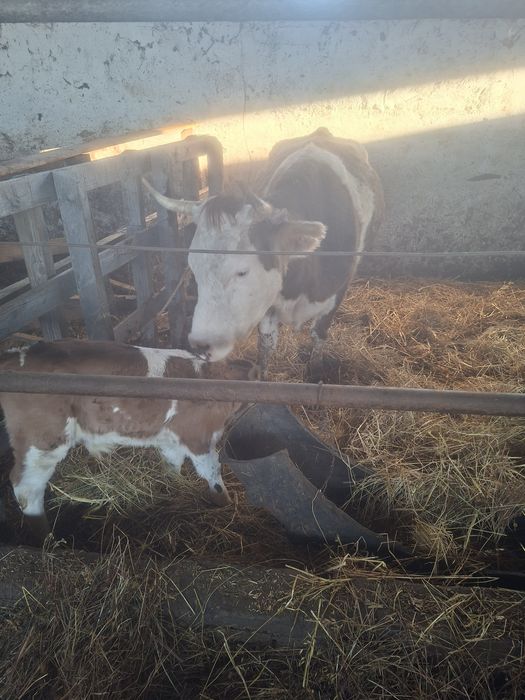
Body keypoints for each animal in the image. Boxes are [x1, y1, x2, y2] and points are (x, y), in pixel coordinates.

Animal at [0, 340, 257, 543]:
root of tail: (15, 354)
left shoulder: (171, 440)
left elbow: (172, 467)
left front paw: (172, 491)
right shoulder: (199, 437)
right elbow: (212, 472)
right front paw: (225, 503)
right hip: (43, 438)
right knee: (26, 487)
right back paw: (47, 541)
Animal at [142, 128, 384, 374]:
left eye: (242, 271)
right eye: (194, 268)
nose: (201, 344)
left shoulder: (336, 295)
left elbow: (319, 335)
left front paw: (316, 369)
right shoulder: (268, 306)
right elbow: (266, 345)